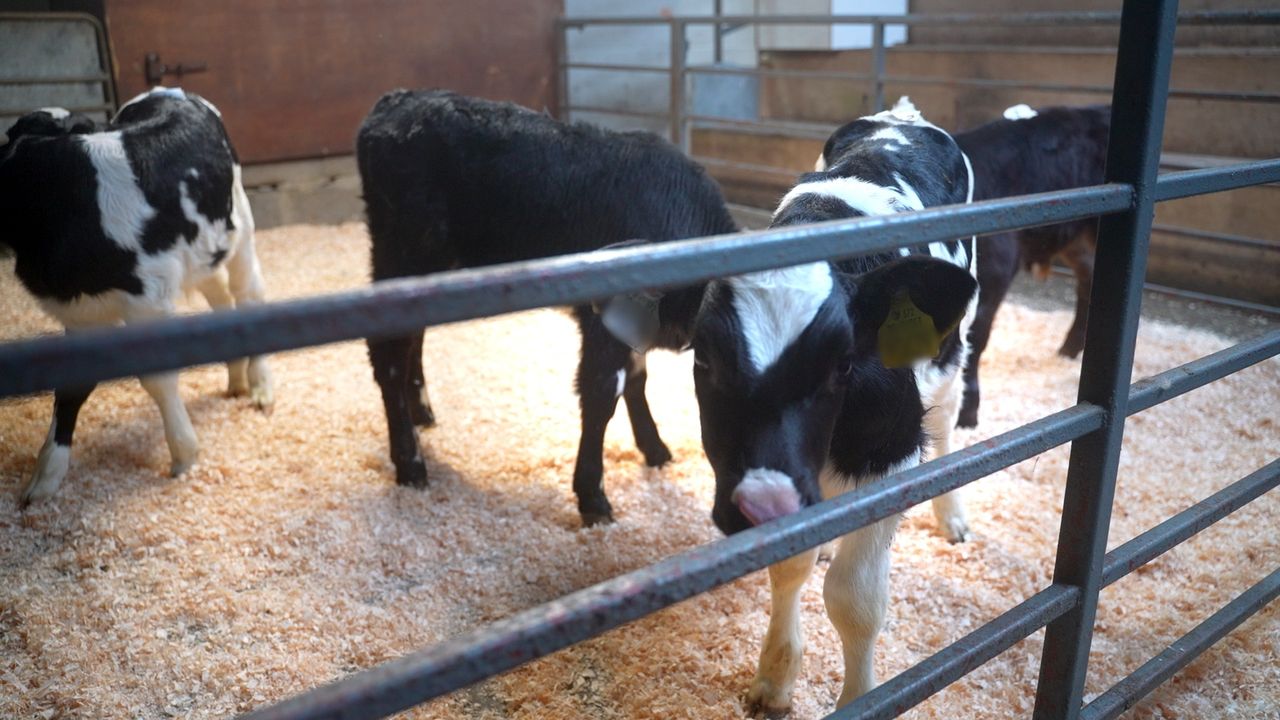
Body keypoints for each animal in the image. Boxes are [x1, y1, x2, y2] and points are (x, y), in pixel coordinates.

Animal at [1, 87, 272, 506]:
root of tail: (171, 90)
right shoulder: (81, 311)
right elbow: (71, 384)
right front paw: (45, 475)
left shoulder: (148, 301)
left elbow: (159, 378)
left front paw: (184, 454)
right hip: (202, 248)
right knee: (218, 295)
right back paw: (236, 378)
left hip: (237, 223)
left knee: (248, 294)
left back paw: (259, 386)